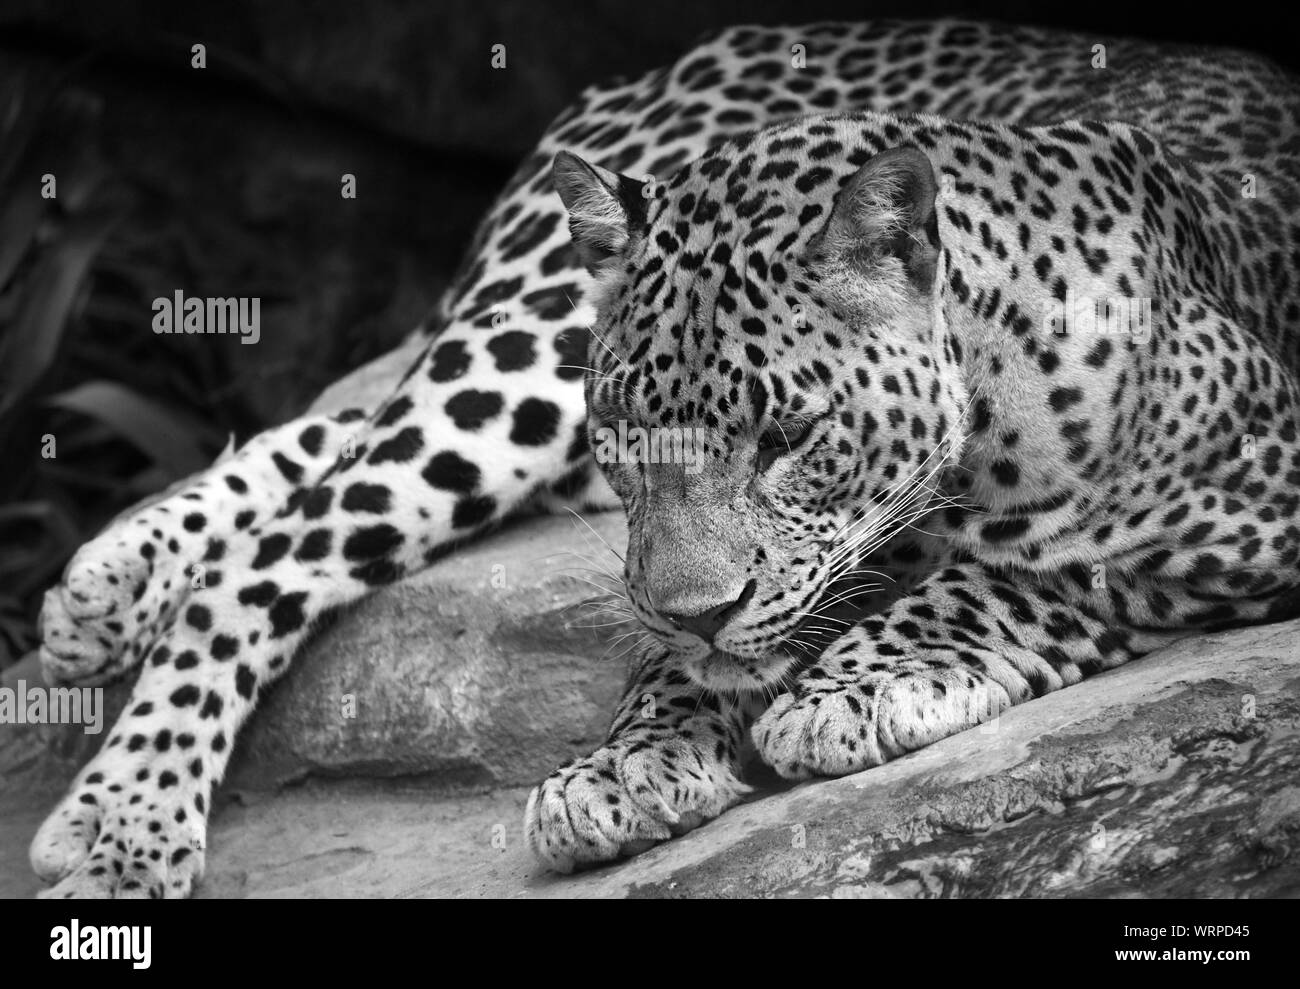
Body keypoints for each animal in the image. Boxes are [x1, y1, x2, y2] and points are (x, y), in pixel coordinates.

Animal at [27, 17, 1300, 894]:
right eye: (635, 436)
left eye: (788, 436)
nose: (702, 611)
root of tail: (671, 58)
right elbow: (673, 649)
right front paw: (626, 762)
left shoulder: (1256, 494)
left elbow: (1020, 571)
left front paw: (857, 683)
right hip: (530, 338)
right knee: (303, 520)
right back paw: (127, 810)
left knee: (337, 443)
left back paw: (108, 597)